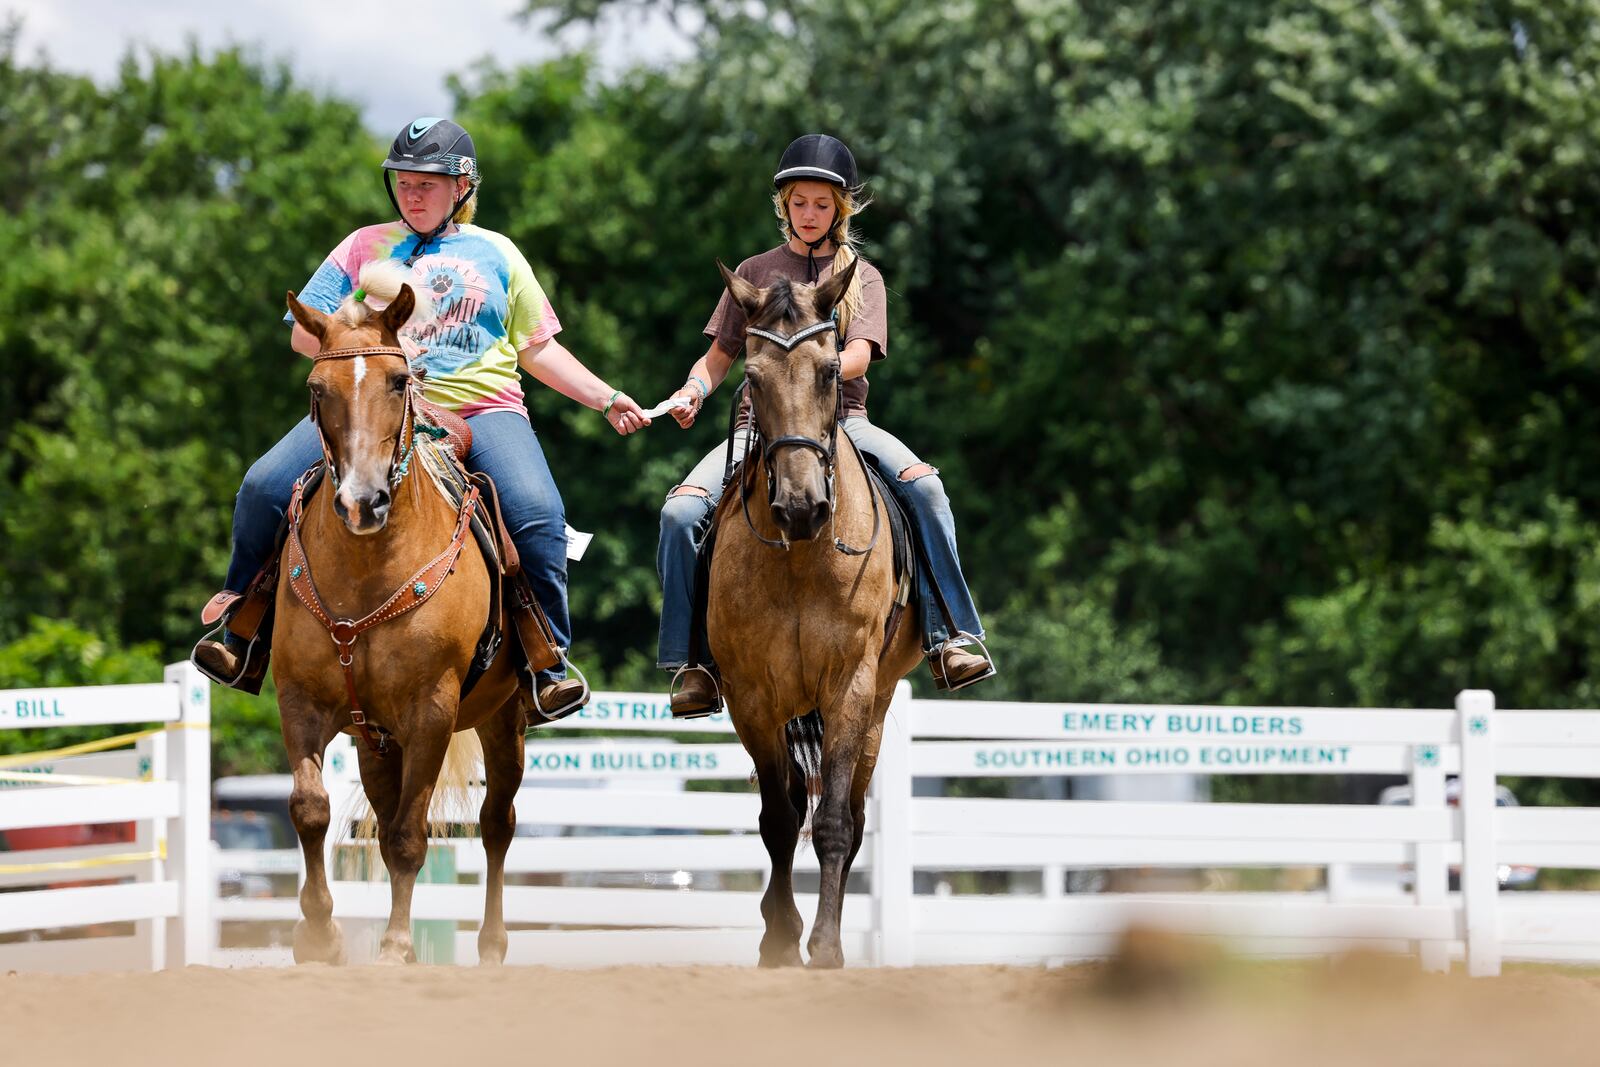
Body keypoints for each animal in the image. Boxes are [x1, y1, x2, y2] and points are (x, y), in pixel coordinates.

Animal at [272, 275, 528, 966]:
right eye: (317, 389)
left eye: (396, 381)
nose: (362, 502)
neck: (367, 567)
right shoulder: (300, 700)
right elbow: (311, 809)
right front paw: (318, 934)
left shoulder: (430, 710)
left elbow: (412, 837)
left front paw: (392, 947)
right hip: (373, 738)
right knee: (385, 823)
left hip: (504, 717)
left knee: (496, 824)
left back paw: (491, 945)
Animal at [707, 260, 921, 966]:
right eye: (751, 377)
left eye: (831, 371)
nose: (802, 507)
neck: (803, 556)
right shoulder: (752, 695)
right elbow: (779, 818)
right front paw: (779, 940)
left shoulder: (850, 686)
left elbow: (832, 824)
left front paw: (825, 945)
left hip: (878, 705)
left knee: (849, 815)